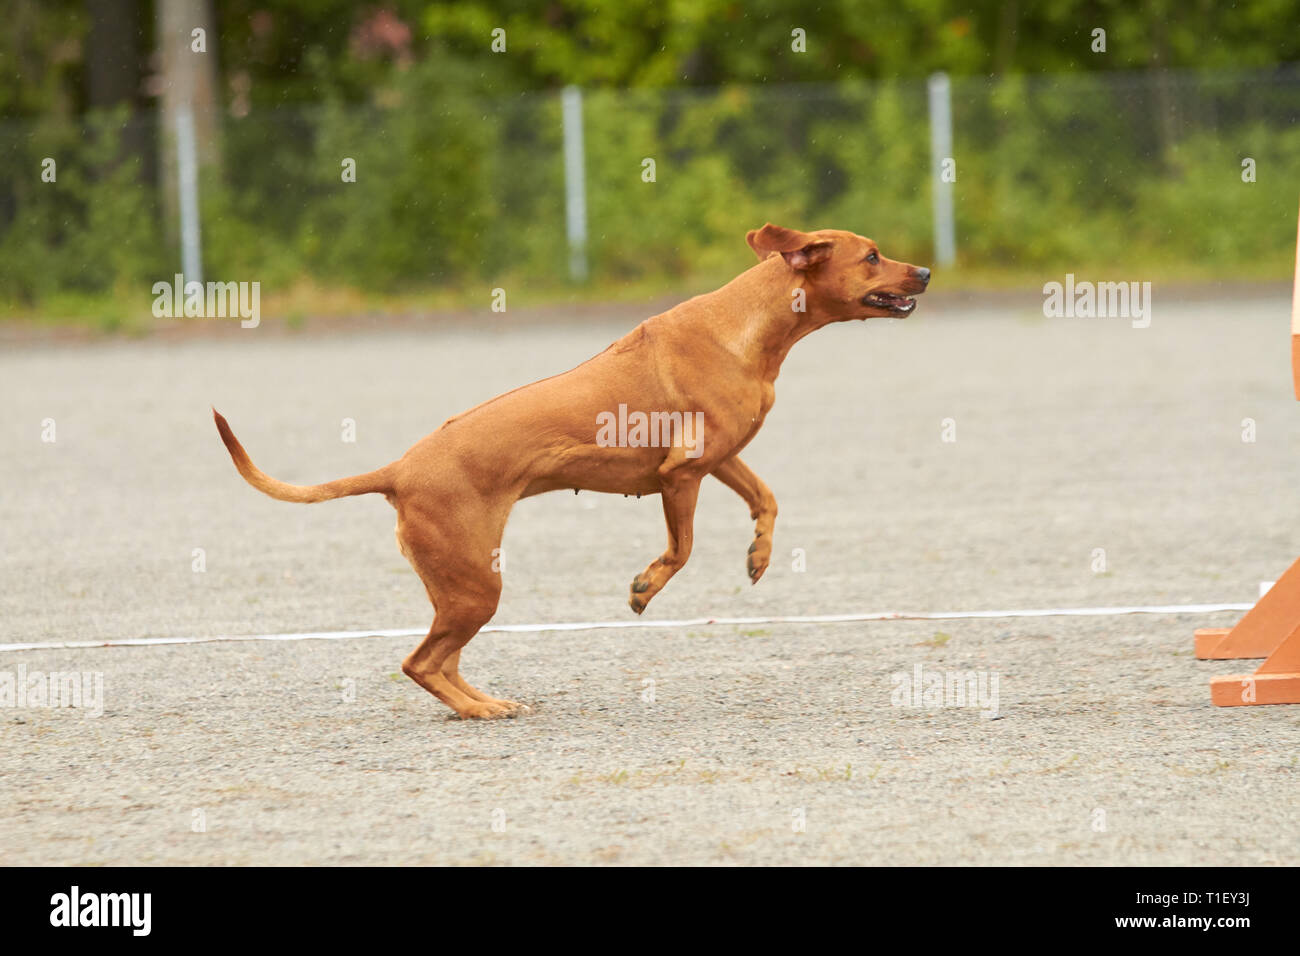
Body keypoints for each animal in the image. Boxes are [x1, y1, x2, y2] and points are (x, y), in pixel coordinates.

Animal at [213, 223, 930, 717]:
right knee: (419, 661)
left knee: (437, 660)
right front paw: (644, 587)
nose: (923, 270)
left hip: (466, 585)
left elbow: (769, 499)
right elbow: (682, 548)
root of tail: (400, 469)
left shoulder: (721, 459)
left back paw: (484, 700)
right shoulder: (681, 472)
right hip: (475, 584)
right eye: (871, 255)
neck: (749, 327)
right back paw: (477, 710)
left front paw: (759, 554)